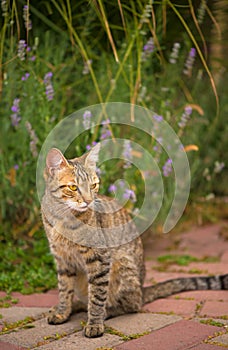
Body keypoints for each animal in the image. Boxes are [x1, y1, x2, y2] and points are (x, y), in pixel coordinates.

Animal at [41, 144, 228, 338]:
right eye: (73, 187)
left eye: (93, 185)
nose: (89, 200)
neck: (63, 219)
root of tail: (142, 288)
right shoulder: (62, 259)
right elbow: (64, 289)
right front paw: (62, 311)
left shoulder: (100, 258)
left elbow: (97, 296)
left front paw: (94, 323)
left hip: (122, 265)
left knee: (131, 304)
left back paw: (106, 311)